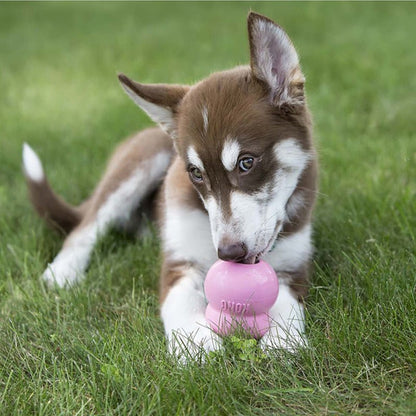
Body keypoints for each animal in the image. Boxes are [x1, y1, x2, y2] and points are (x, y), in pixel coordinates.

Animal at [23, 11, 318, 360]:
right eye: (196, 173)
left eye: (246, 162)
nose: (229, 253)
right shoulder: (180, 262)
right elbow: (182, 301)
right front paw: (198, 346)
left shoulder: (292, 267)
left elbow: (286, 304)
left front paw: (283, 343)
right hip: (140, 161)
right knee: (88, 225)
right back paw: (63, 271)